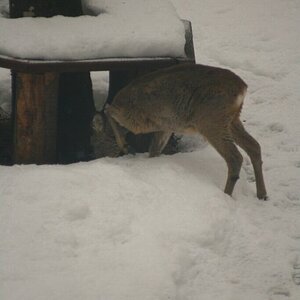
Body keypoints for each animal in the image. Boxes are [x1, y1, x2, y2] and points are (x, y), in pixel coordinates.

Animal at [93, 63, 268, 199]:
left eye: (96, 145)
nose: (94, 157)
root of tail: (242, 88)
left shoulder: (137, 122)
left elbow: (108, 110)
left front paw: (124, 146)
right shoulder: (166, 127)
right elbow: (154, 150)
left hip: (211, 120)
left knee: (235, 157)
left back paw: (226, 195)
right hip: (231, 120)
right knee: (254, 146)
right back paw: (262, 194)